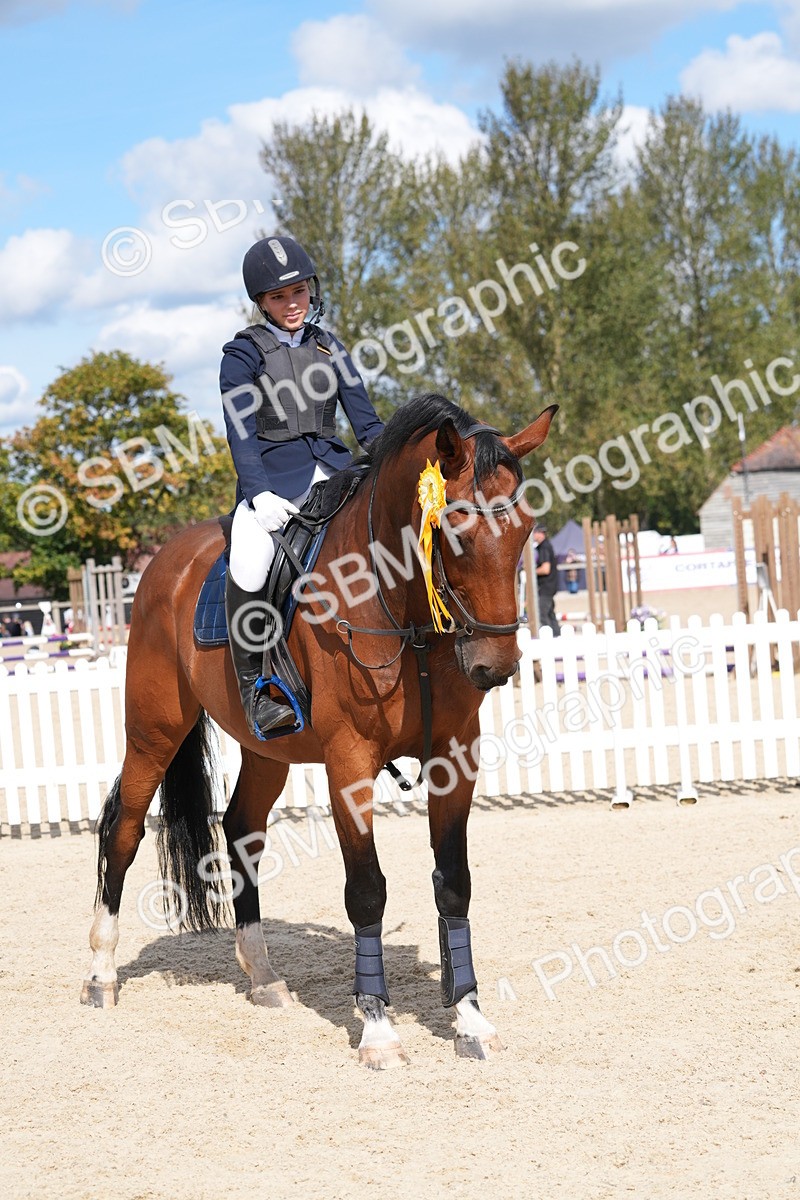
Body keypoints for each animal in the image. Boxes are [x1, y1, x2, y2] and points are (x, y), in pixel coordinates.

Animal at [81, 392, 556, 1068]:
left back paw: (262, 976)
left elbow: (454, 884)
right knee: (121, 831)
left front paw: (469, 1018)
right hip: (154, 732)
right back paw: (101, 975)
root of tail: (162, 564)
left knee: (241, 830)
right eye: (454, 529)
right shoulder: (349, 763)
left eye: (524, 529)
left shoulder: (455, 758)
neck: (401, 608)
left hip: (266, 750)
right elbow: (367, 890)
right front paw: (378, 1029)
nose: (496, 667)